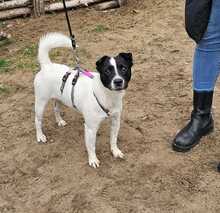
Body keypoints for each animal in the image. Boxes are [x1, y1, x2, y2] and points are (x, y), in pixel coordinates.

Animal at [33, 32, 133, 167]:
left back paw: (59, 121)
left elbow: (113, 139)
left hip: (59, 98)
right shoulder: (90, 128)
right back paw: (40, 136)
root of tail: (47, 65)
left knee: (56, 109)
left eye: (124, 69)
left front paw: (115, 151)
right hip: (40, 103)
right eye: (107, 71)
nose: (118, 81)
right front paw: (93, 160)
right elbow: (91, 146)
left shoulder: (115, 121)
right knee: (37, 120)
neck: (107, 95)